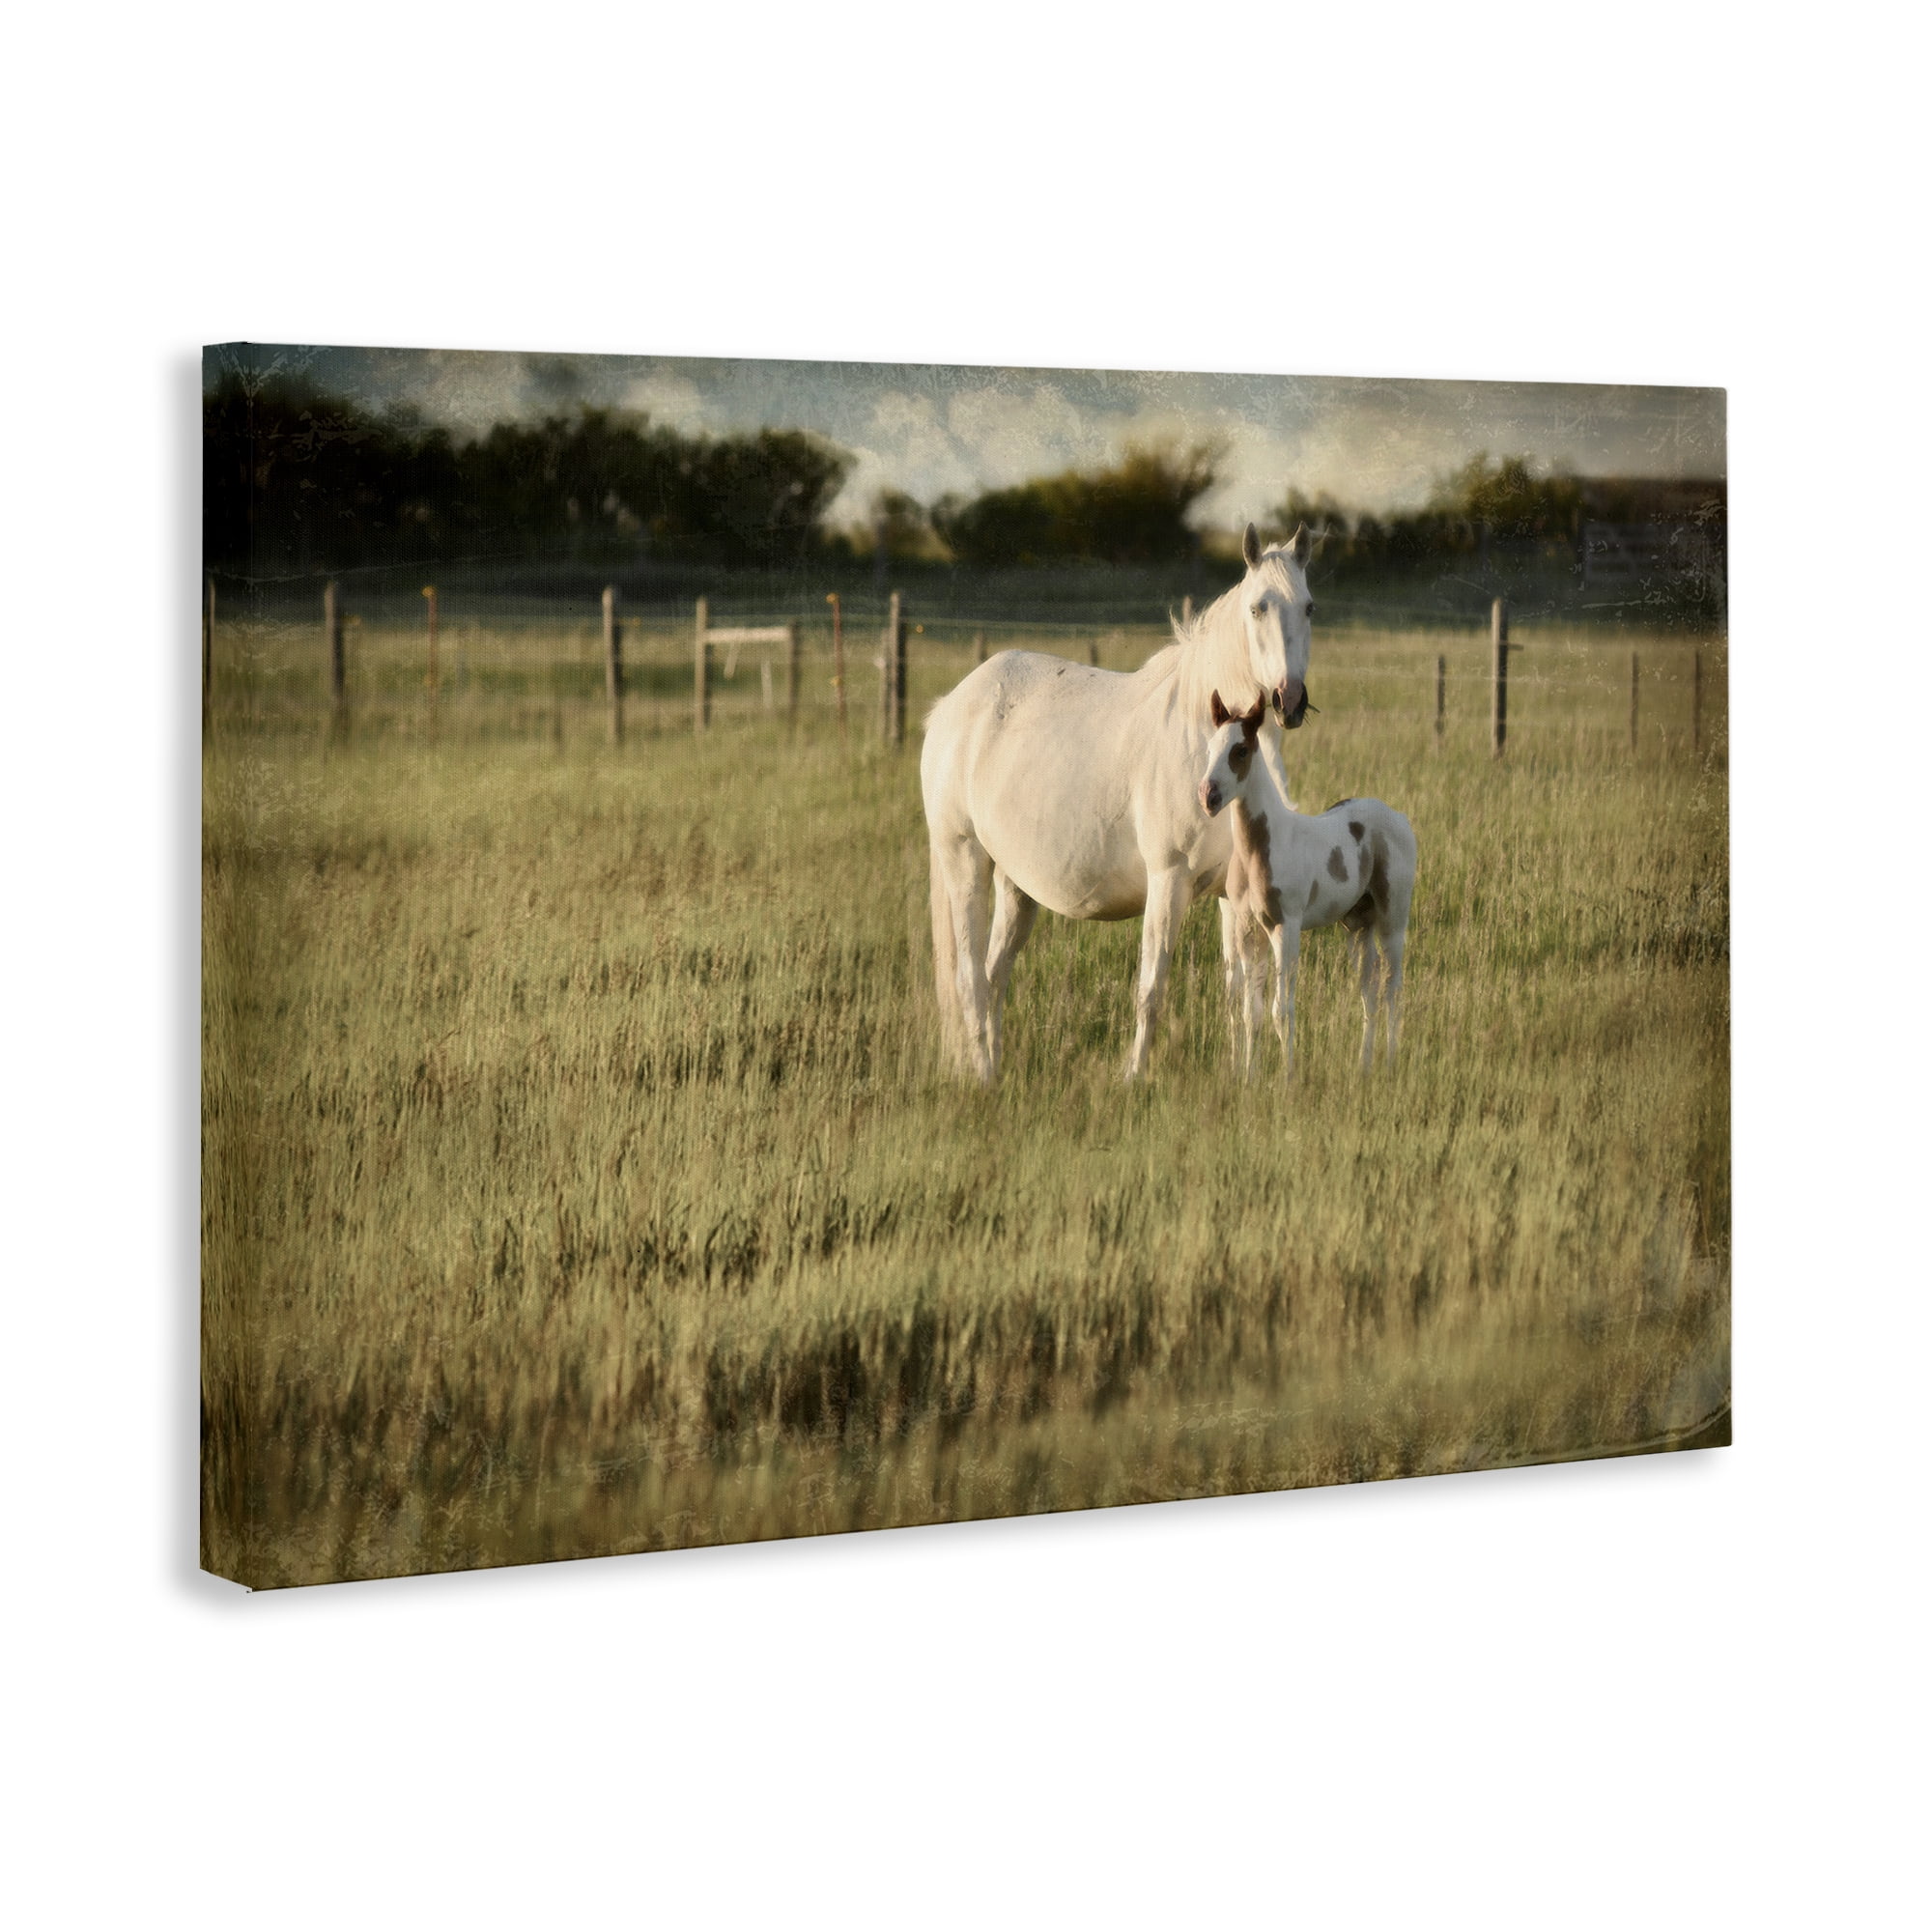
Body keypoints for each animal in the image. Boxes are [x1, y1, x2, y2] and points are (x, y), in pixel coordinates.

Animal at [921, 522, 1317, 1084]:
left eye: (1308, 607)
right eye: (1258, 607)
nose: (1290, 700)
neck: (1200, 738)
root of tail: (950, 708)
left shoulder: (1230, 894)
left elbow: (1242, 994)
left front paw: (1242, 1075)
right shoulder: (1168, 880)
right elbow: (1151, 988)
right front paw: (1133, 1076)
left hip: (1015, 887)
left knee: (996, 976)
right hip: (964, 862)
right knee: (971, 981)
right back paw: (984, 1078)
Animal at [1199, 690, 1415, 1079]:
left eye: (1241, 750)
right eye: (1210, 749)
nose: (1208, 796)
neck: (1260, 850)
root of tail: (1399, 817)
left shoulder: (1286, 928)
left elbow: (1281, 1011)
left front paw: (1287, 1077)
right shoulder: (1247, 929)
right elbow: (1251, 1012)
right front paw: (1249, 1077)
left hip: (1393, 919)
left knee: (1392, 986)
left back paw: (1390, 1063)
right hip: (1358, 925)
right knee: (1369, 986)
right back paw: (1364, 1065)